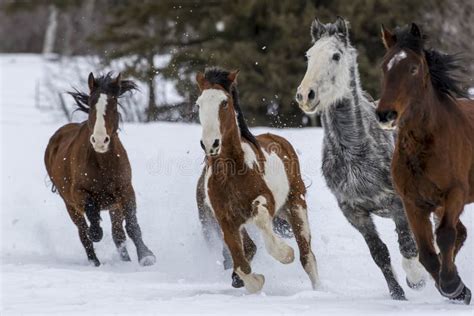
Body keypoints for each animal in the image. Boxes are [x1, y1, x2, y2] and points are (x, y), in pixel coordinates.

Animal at [44, 72, 156, 266]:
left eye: (113, 104)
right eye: (91, 105)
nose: (99, 140)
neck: (104, 164)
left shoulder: (125, 190)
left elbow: (131, 226)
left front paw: (146, 256)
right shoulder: (79, 193)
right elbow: (92, 217)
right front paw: (96, 232)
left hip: (114, 206)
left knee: (117, 234)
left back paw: (125, 261)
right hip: (70, 206)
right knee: (83, 233)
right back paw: (94, 262)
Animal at [194, 68, 320, 292]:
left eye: (224, 102)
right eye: (199, 104)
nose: (210, 143)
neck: (230, 174)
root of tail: (277, 138)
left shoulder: (266, 201)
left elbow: (261, 217)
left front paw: (285, 254)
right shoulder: (225, 220)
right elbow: (241, 263)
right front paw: (253, 280)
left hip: (296, 205)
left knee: (308, 258)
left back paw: (320, 291)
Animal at [296, 16, 426, 298]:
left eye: (336, 55)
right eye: (309, 55)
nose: (305, 95)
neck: (356, 153)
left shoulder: (399, 202)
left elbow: (408, 247)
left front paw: (416, 279)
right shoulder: (354, 212)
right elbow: (379, 253)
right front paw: (398, 295)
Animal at [376, 22, 472, 304]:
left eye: (413, 68)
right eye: (384, 66)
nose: (385, 114)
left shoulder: (455, 193)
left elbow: (445, 235)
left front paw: (452, 285)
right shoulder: (413, 203)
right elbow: (426, 252)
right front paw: (455, 287)